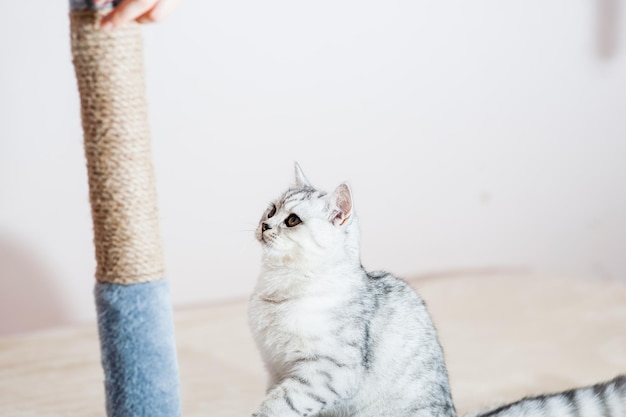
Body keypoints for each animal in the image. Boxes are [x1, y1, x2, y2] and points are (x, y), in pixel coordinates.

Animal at [247, 163, 620, 416]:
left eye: (292, 220)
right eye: (272, 210)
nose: (264, 225)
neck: (278, 287)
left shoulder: (326, 372)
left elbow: (279, 404)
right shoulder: (275, 369)